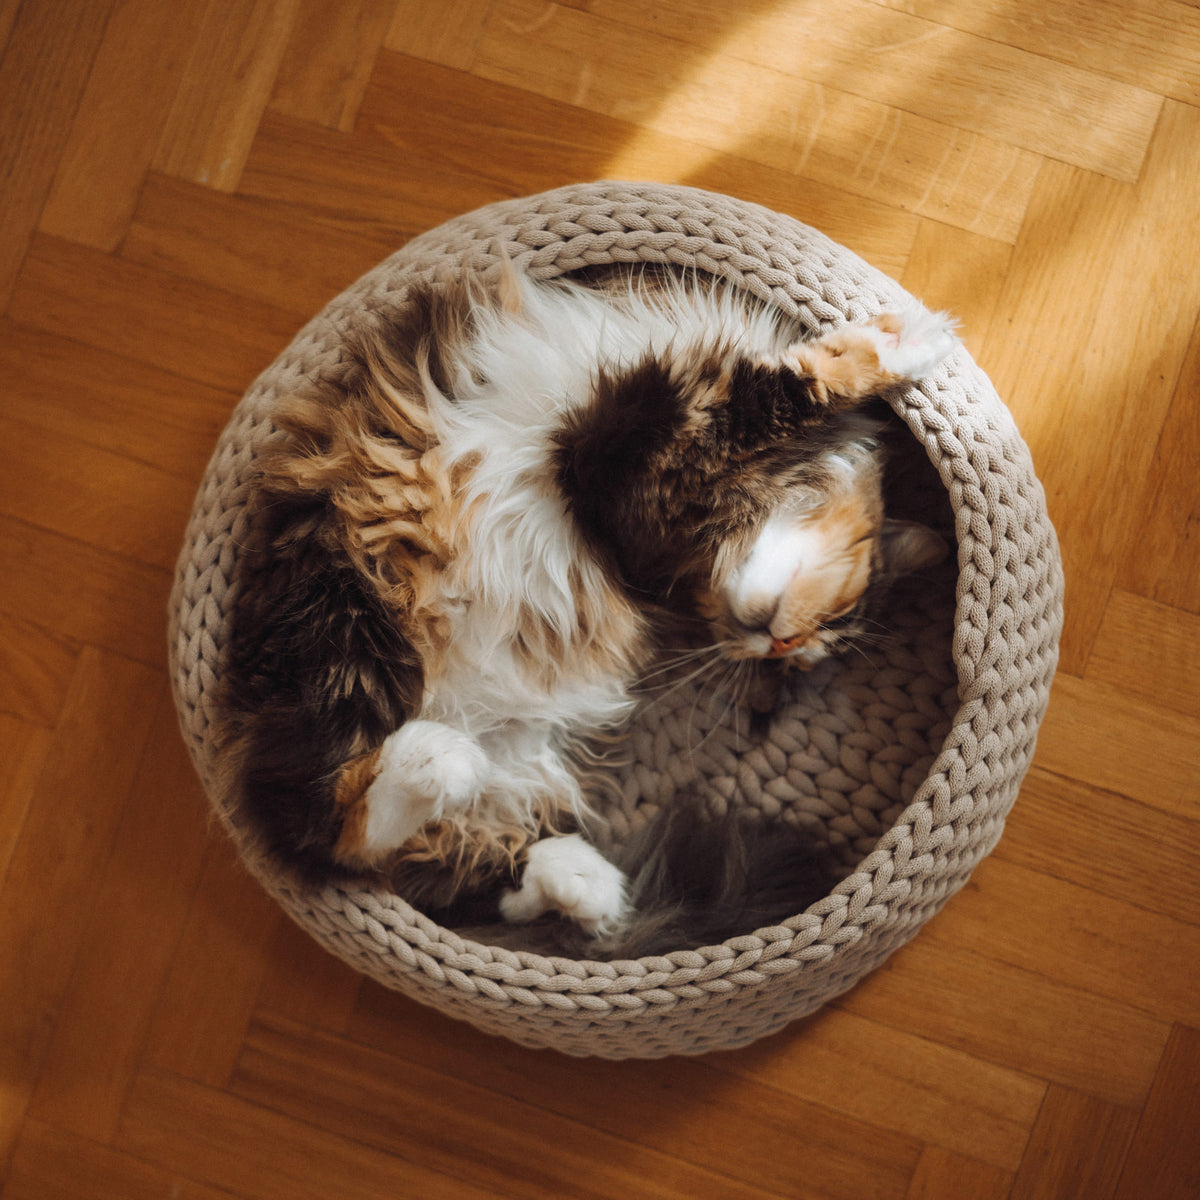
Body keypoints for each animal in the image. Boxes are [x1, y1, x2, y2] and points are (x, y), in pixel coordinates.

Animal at [220, 267, 955, 950]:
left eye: (798, 659)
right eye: (830, 624)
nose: (776, 646)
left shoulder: (637, 475)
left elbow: (781, 389)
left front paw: (905, 342)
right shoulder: (633, 461)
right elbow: (796, 383)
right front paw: (915, 340)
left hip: (478, 733)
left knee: (425, 861)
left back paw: (580, 877)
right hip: (347, 626)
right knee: (329, 825)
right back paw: (446, 770)